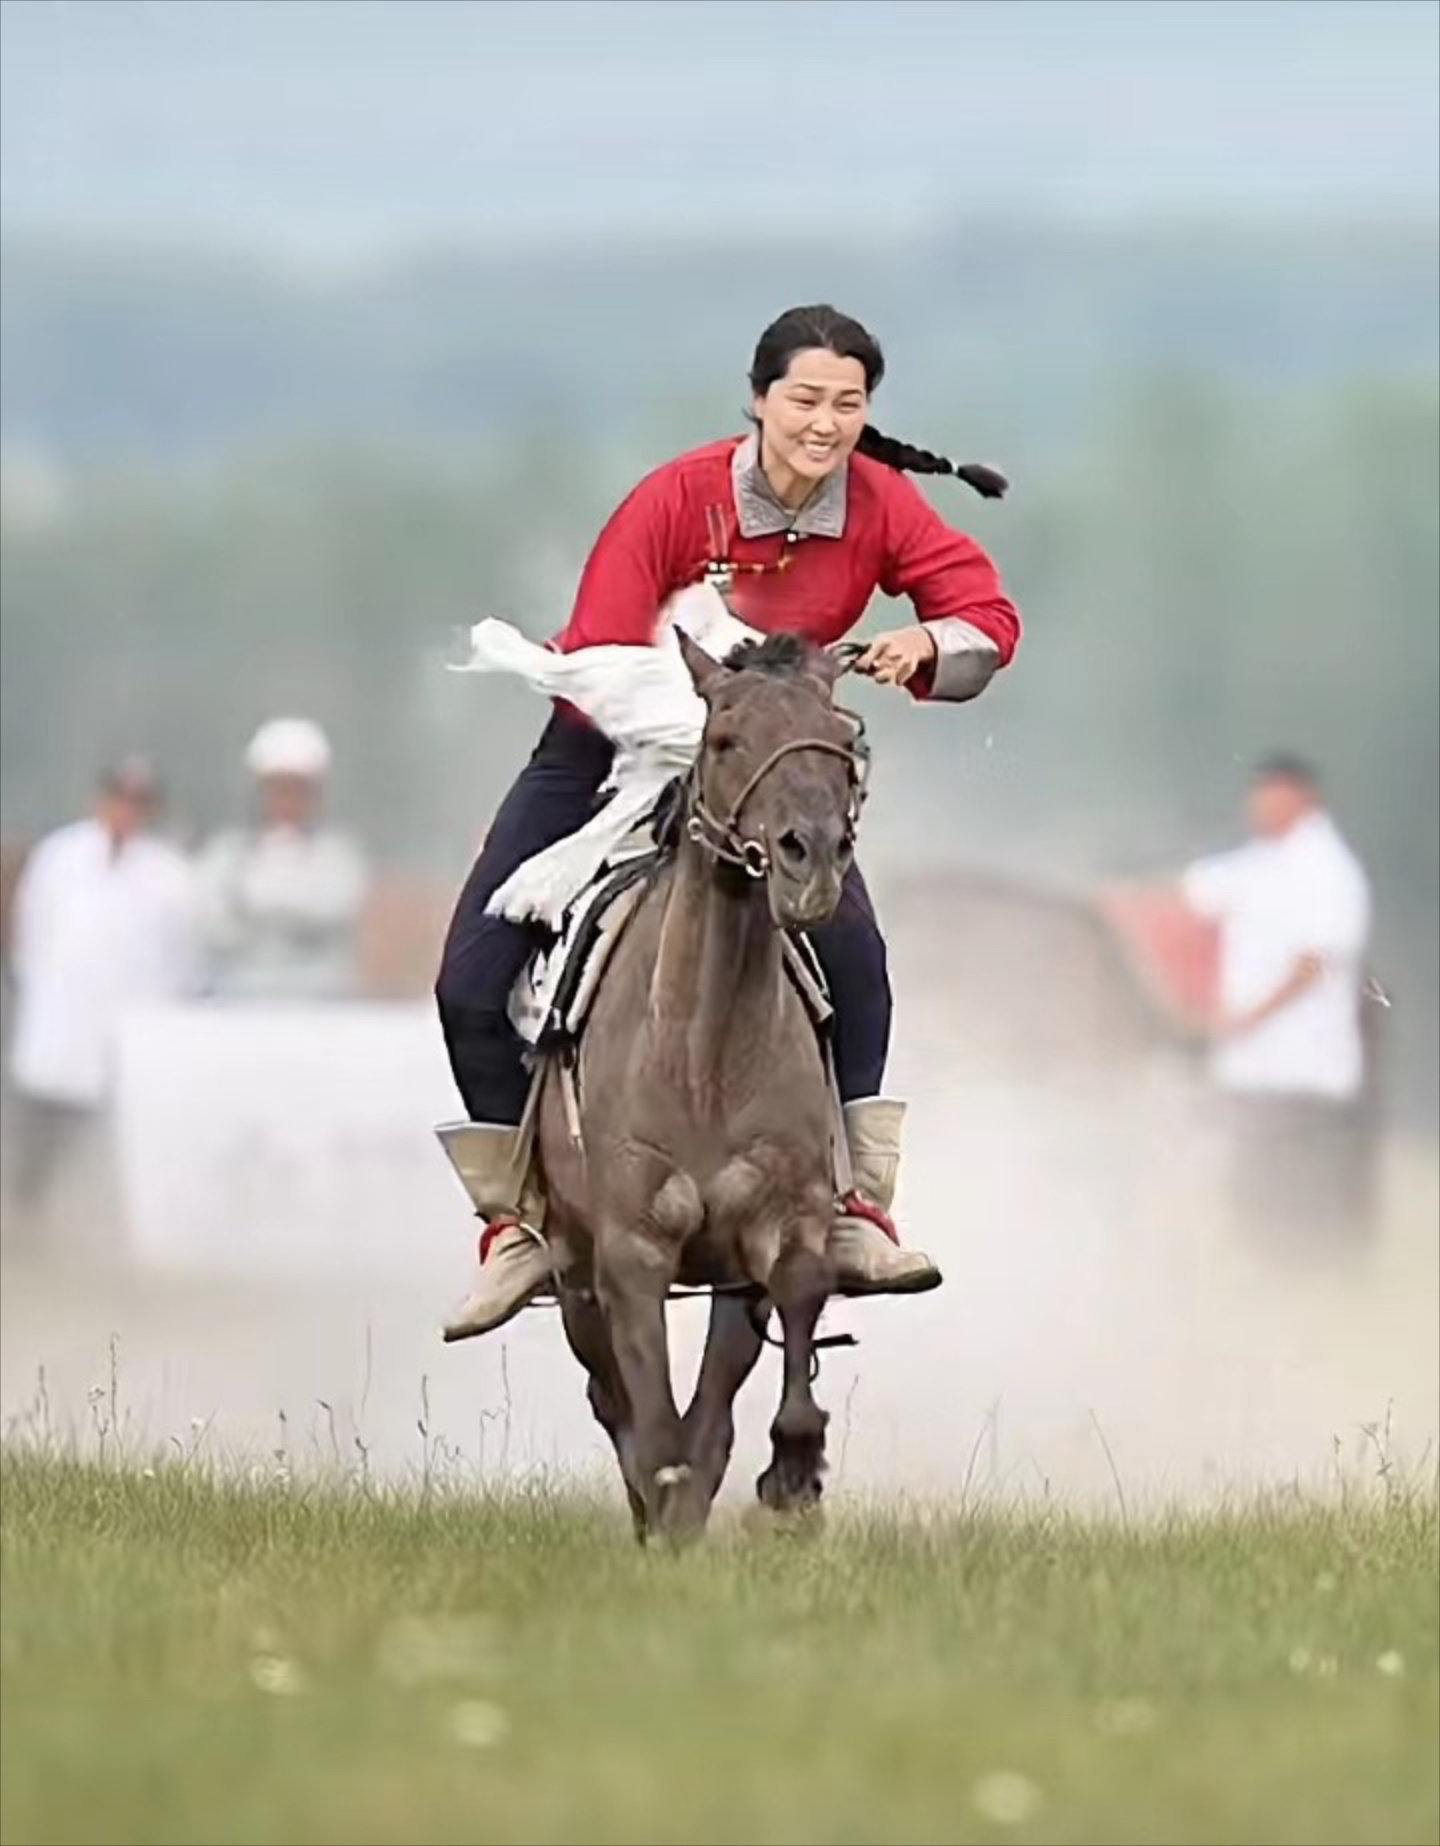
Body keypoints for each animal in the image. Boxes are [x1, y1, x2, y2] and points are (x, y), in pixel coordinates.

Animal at [531, 635, 860, 1543]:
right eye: (724, 739)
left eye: (843, 740)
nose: (811, 858)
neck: (702, 1054)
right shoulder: (632, 1249)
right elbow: (650, 1415)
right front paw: (666, 1498)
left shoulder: (776, 1226)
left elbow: (789, 1318)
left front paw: (793, 1469)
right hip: (571, 1265)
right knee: (609, 1389)